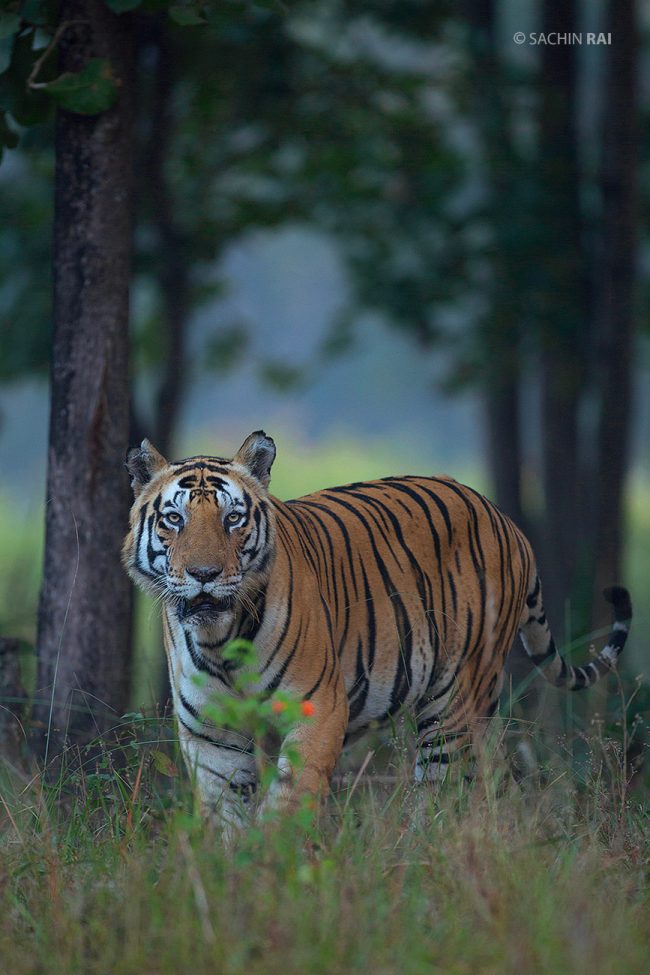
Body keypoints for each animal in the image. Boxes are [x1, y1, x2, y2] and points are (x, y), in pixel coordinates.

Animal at [122, 430, 632, 824]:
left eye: (232, 519)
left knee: (444, 789)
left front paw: (273, 864)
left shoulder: (318, 712)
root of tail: (504, 518)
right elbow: (227, 819)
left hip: (454, 702)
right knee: (497, 777)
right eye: (174, 519)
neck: (221, 641)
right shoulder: (211, 735)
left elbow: (285, 805)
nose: (204, 574)